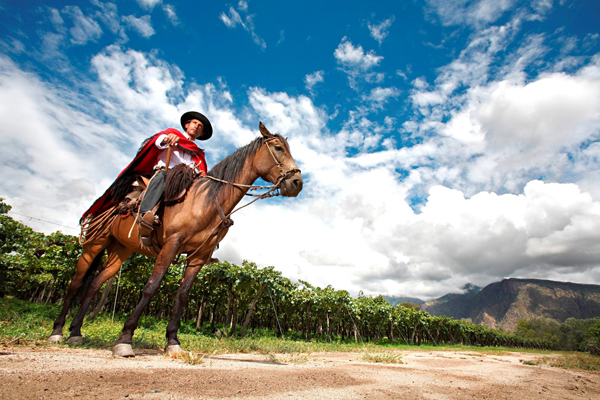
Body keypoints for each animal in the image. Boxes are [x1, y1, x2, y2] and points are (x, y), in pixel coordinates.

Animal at [45, 122, 304, 356]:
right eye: (278, 148)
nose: (297, 183)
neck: (207, 201)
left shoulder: (198, 257)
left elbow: (182, 296)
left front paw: (172, 342)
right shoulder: (171, 245)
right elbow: (151, 287)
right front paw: (125, 339)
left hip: (121, 249)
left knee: (95, 284)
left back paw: (76, 332)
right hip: (94, 244)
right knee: (76, 283)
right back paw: (57, 332)